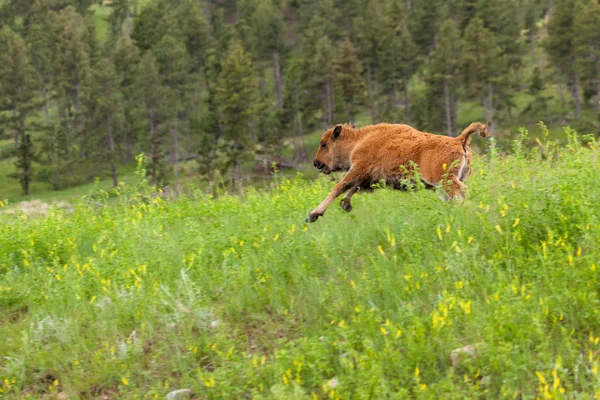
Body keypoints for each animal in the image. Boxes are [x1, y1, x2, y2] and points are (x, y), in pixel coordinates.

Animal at [304, 122, 488, 222]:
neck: (359, 140)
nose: (316, 163)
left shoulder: (358, 169)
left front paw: (313, 215)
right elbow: (353, 188)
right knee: (454, 196)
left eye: (324, 144)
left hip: (443, 180)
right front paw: (346, 204)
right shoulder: (367, 177)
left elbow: (339, 187)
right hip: (449, 182)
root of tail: (459, 140)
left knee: (461, 191)